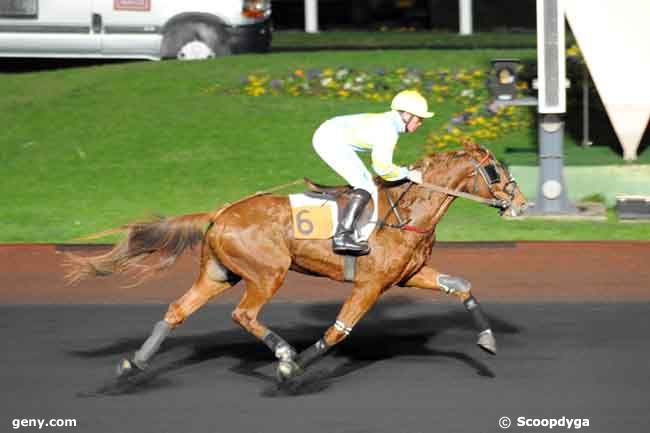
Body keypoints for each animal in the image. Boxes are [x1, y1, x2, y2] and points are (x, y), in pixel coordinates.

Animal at [62, 142, 528, 382]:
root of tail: (221, 212)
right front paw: (296, 364)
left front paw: (487, 340)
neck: (405, 212)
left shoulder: (409, 275)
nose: (522, 203)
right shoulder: (370, 285)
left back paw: (134, 362)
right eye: (494, 170)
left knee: (177, 310)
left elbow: (462, 285)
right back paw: (284, 351)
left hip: (219, 274)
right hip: (268, 273)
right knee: (244, 314)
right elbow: (339, 331)